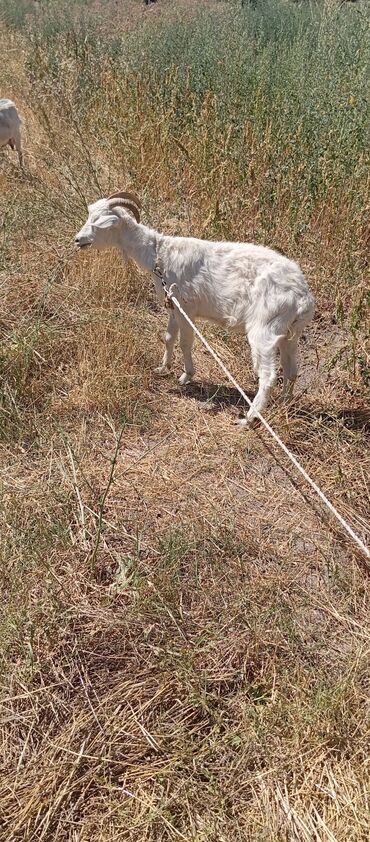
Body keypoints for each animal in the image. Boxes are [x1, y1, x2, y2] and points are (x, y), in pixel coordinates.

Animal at [75, 193, 316, 424]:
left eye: (98, 221)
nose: (78, 240)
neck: (159, 254)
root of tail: (302, 297)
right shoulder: (173, 306)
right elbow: (169, 337)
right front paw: (162, 369)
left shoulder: (186, 308)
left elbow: (185, 342)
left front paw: (186, 376)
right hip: (290, 333)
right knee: (292, 370)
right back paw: (283, 404)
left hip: (264, 329)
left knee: (268, 376)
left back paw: (249, 418)